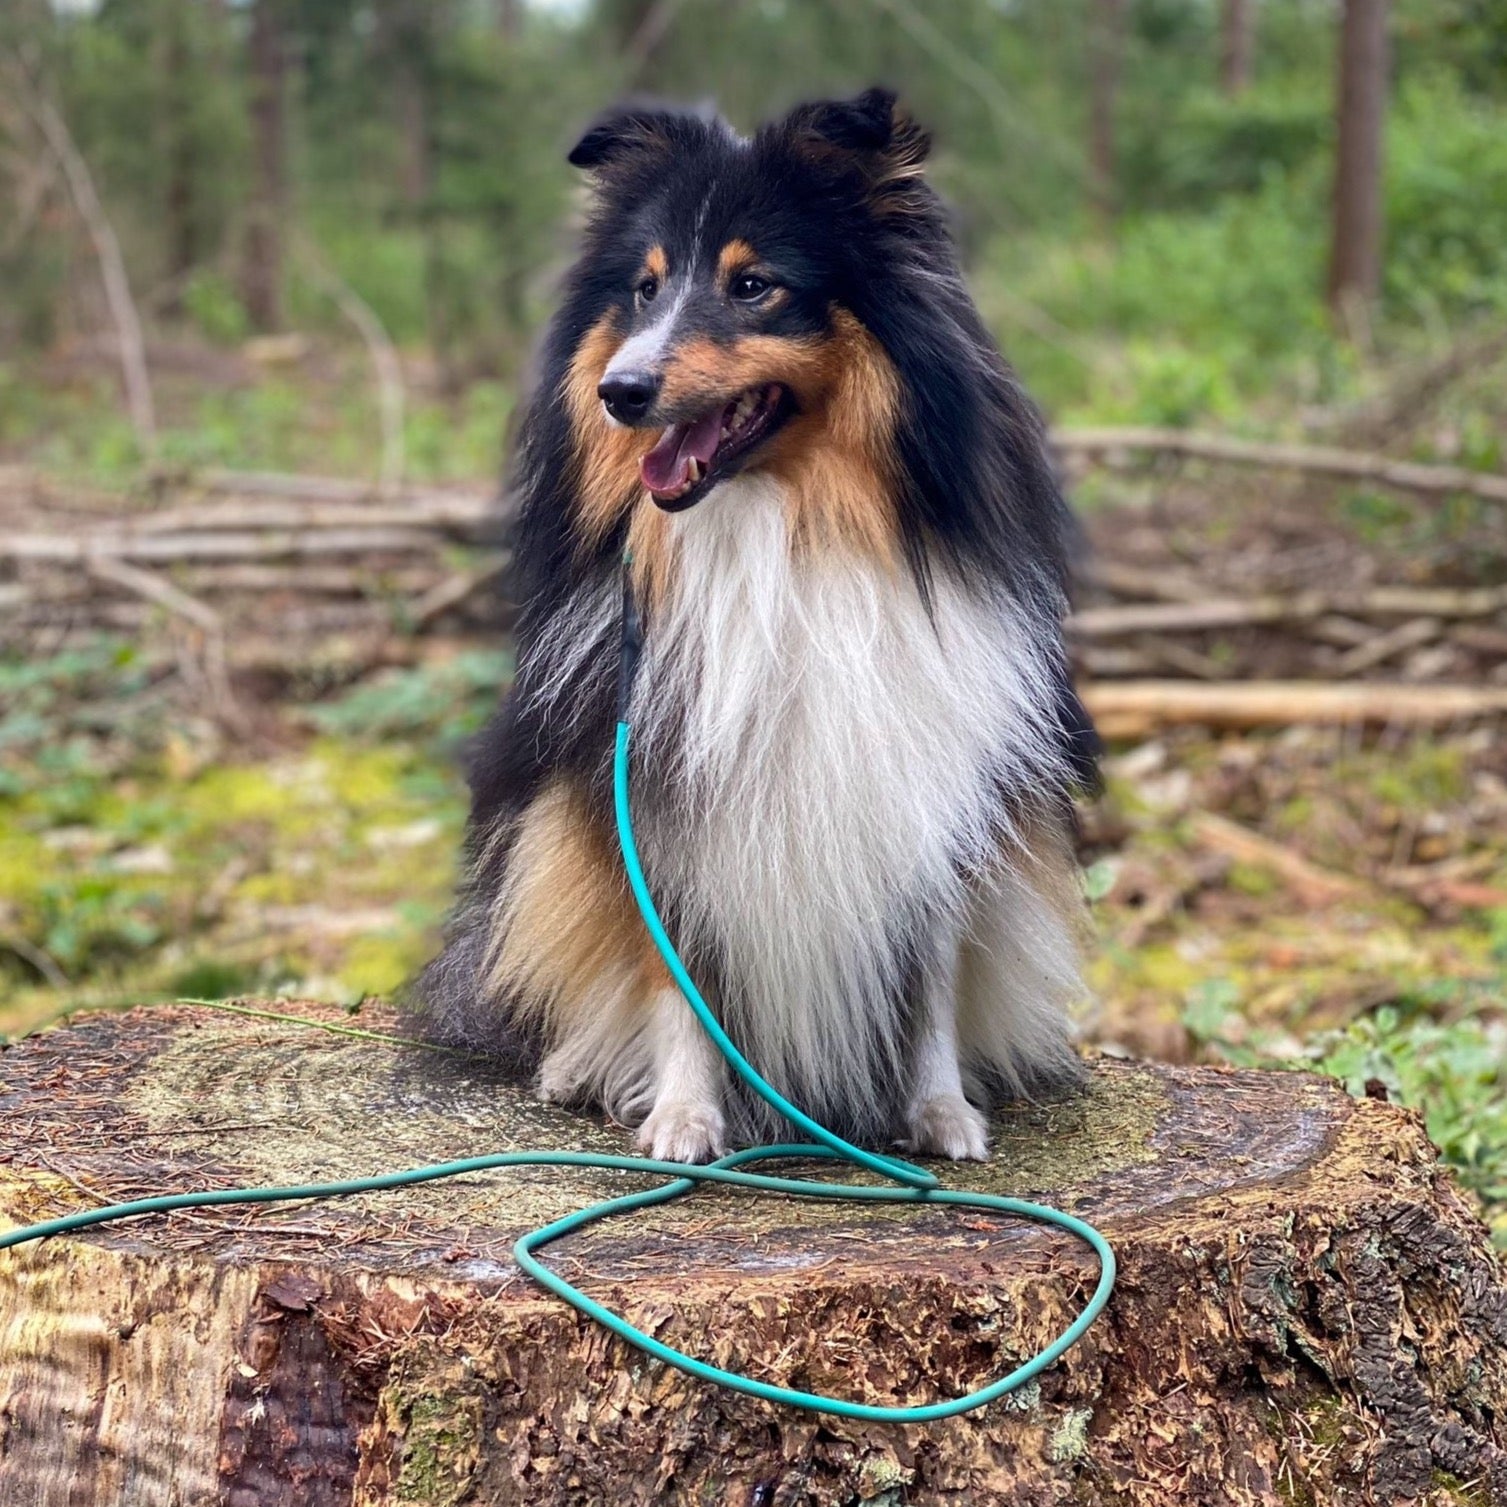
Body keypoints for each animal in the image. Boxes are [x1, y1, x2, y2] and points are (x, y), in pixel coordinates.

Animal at [418, 85, 1103, 1163]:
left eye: (754, 286)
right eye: (645, 289)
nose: (619, 393)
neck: (779, 532)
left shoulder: (934, 785)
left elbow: (933, 978)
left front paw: (940, 1112)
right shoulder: (649, 796)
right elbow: (671, 975)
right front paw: (684, 1118)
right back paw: (575, 1068)